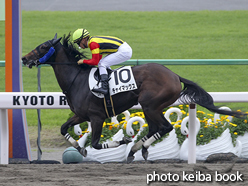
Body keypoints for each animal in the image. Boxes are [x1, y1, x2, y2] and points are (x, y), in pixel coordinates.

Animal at [22, 33, 245, 163]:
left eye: (42, 47)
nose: (24, 58)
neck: (77, 80)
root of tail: (174, 75)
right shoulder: (81, 115)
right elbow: (63, 129)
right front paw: (78, 148)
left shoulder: (96, 117)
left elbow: (96, 143)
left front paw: (123, 141)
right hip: (152, 107)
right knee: (156, 128)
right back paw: (137, 150)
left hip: (150, 105)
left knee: (165, 127)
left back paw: (136, 149)